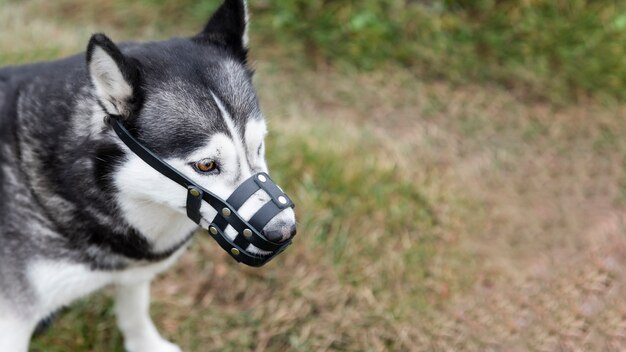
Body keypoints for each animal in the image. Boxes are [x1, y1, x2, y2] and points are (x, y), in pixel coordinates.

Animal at [0, 0, 296, 350]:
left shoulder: (134, 274)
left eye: (259, 145)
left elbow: (135, 308)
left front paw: (145, 343)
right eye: (206, 165)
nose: (284, 231)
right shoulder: (14, 321)